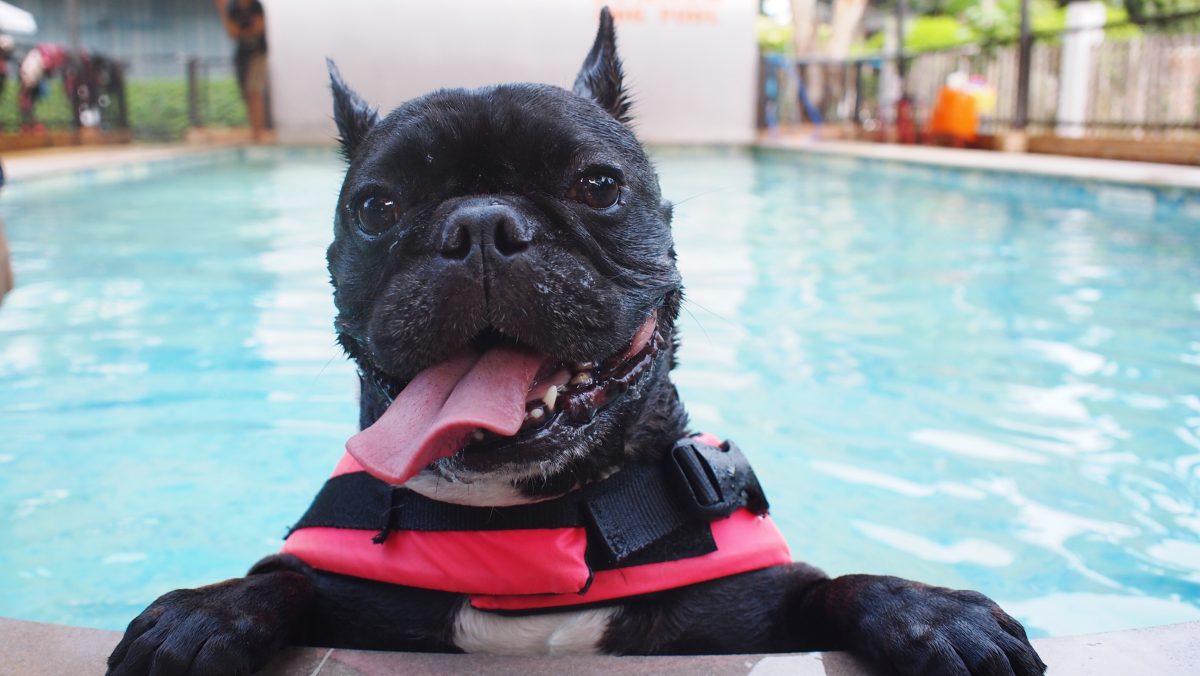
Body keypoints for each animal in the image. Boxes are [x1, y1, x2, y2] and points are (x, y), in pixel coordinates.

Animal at [110, 10, 1051, 676]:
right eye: (376, 207)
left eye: (597, 185)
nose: (480, 226)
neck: (533, 522)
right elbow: (281, 577)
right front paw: (207, 611)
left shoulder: (755, 609)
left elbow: (838, 586)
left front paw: (930, 612)